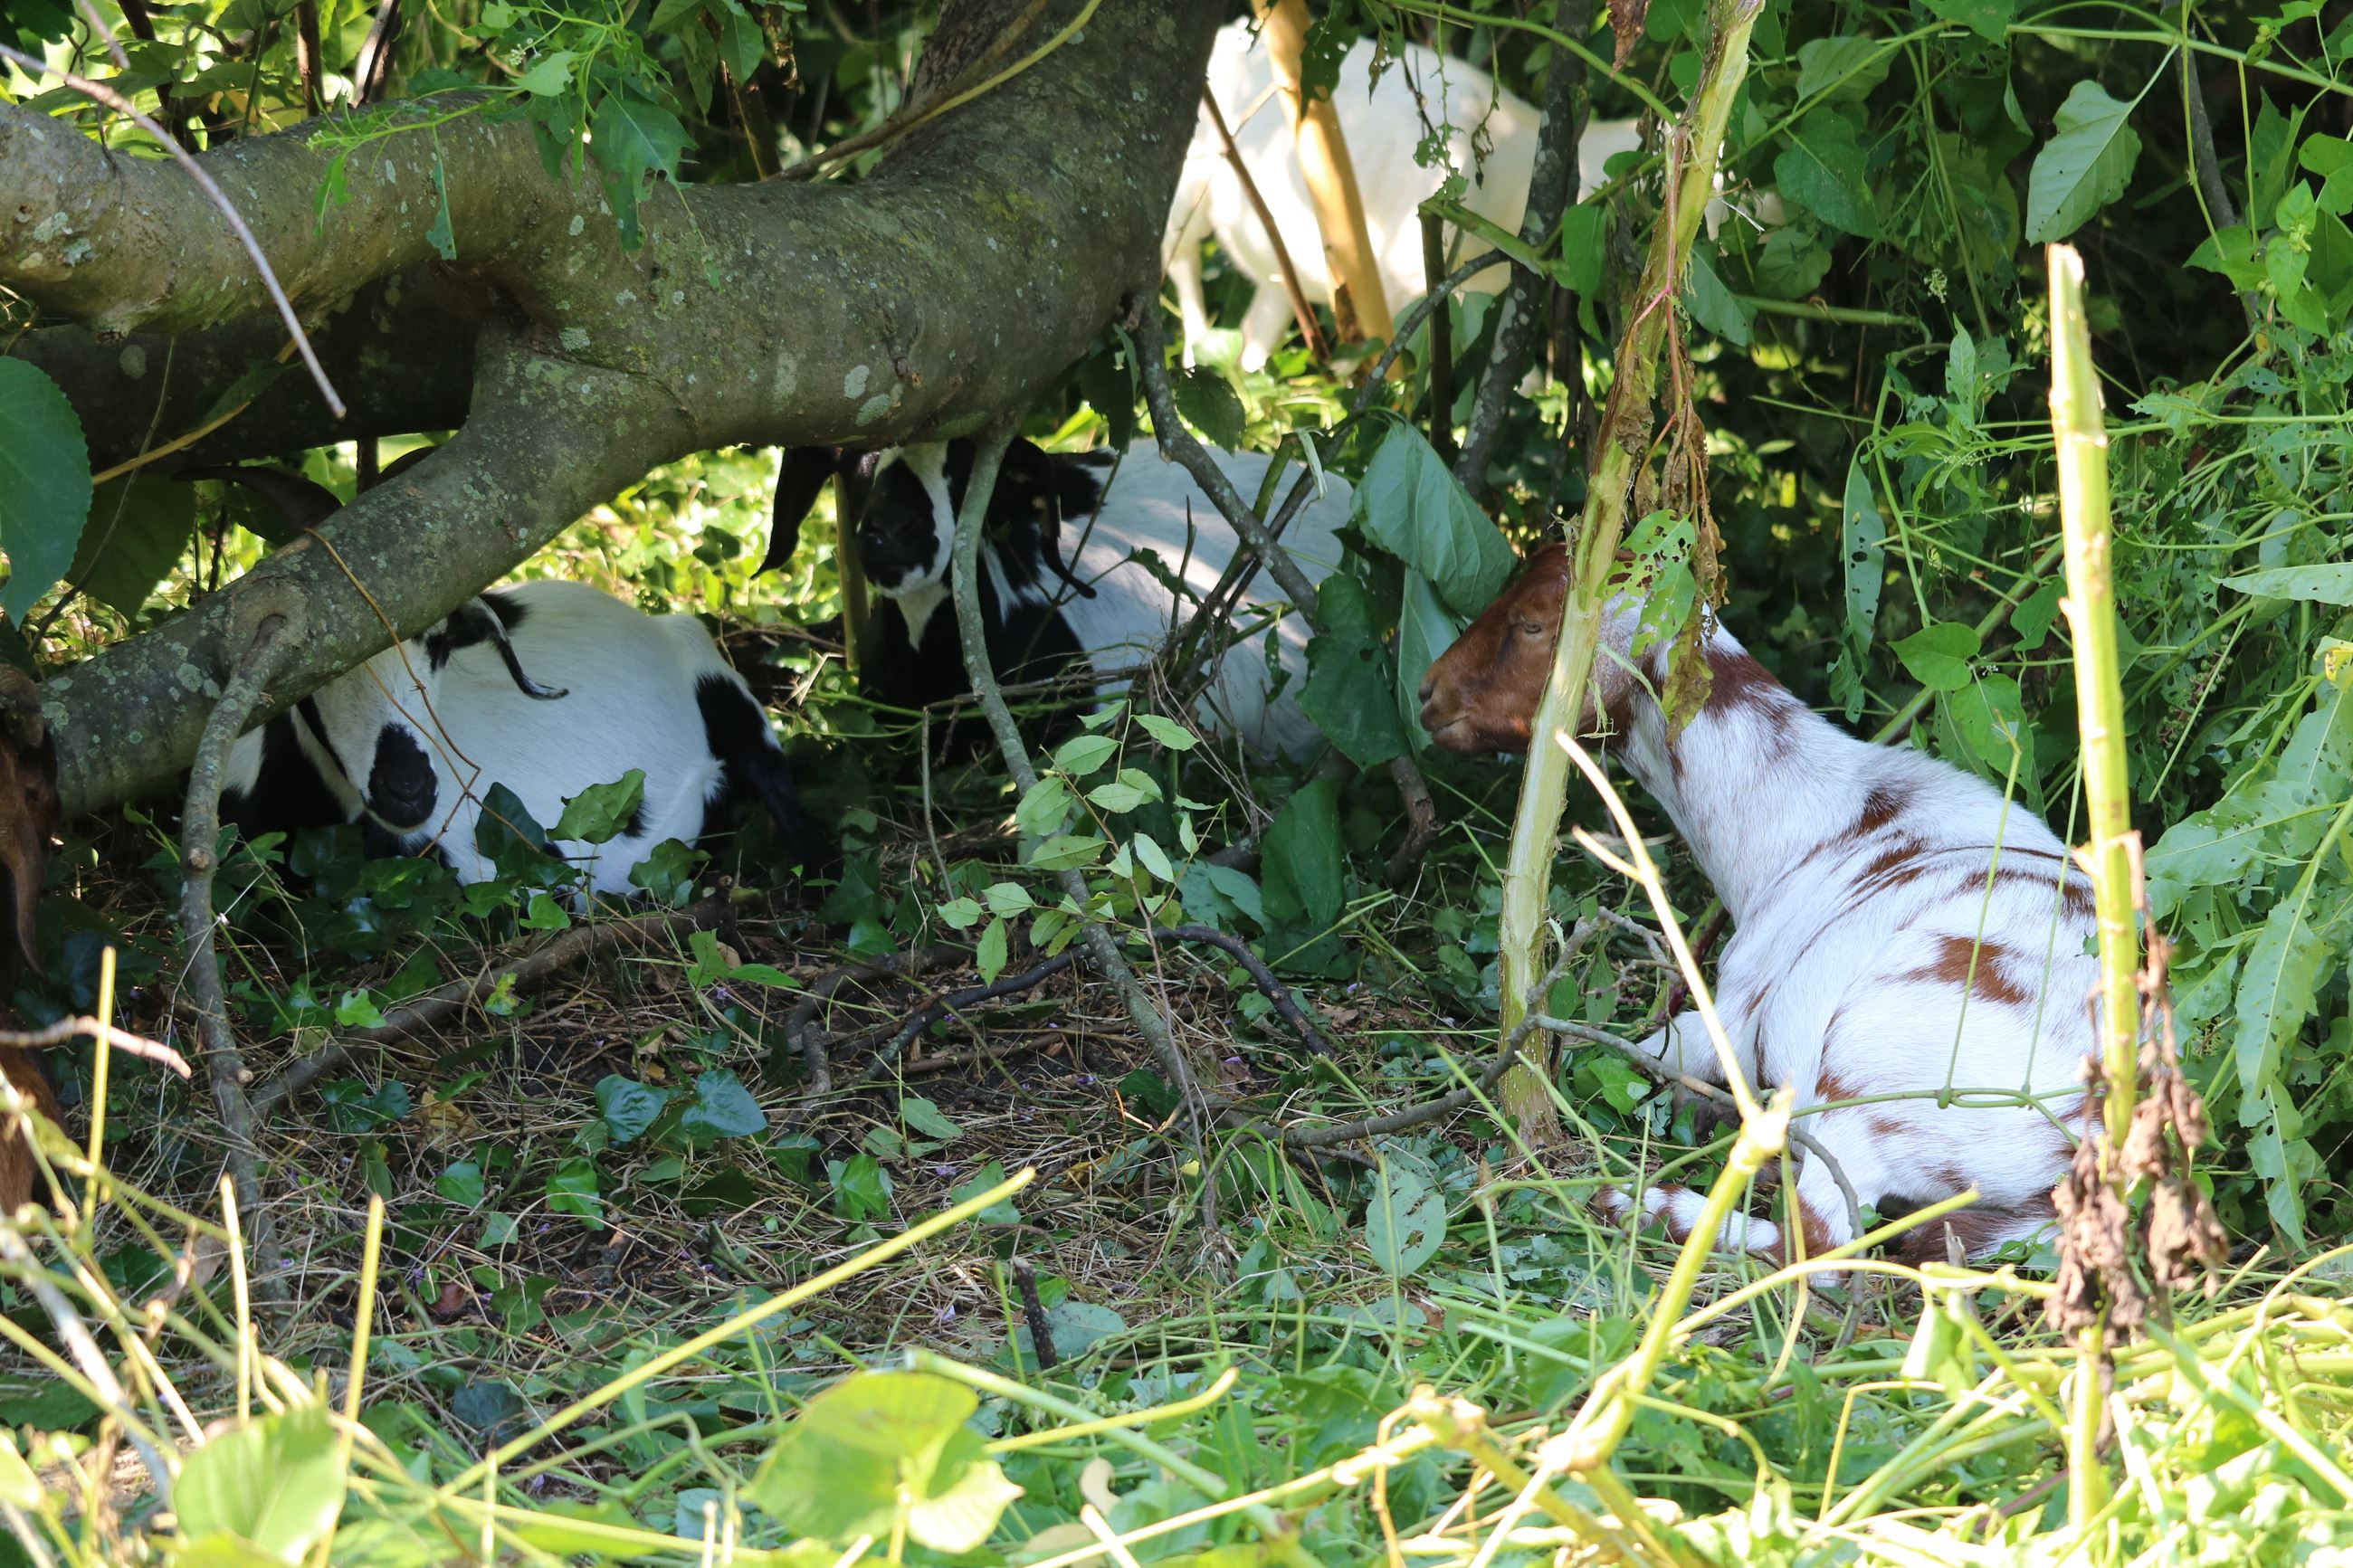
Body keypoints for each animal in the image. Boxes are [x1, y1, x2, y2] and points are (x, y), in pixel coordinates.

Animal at [1417, 543, 2096, 1264]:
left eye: (1534, 624)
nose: (1428, 693)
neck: (1811, 818)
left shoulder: (1737, 1015)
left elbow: (1607, 1054)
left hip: (1874, 1075)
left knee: (1815, 1238)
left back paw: (1640, 1203)